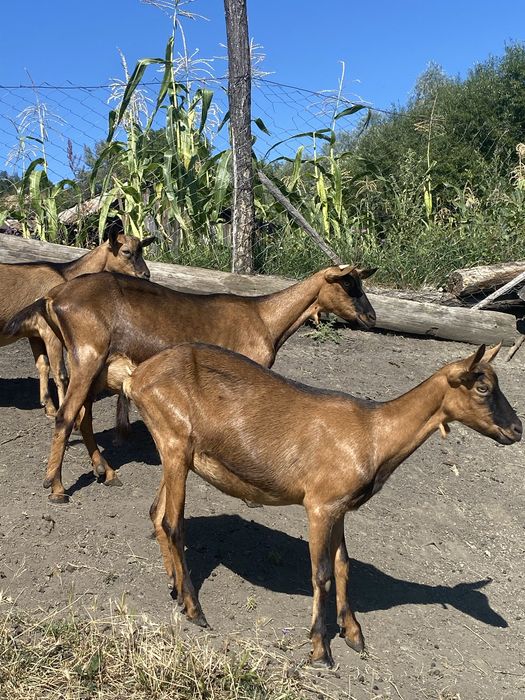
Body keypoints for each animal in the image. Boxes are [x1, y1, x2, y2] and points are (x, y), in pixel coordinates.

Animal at [0, 230, 154, 417]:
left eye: (141, 250)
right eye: (126, 251)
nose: (145, 275)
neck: (66, 276)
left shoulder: (35, 333)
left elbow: (43, 365)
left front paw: (48, 407)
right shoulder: (50, 332)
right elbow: (61, 373)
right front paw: (60, 410)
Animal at [5, 264, 376, 502]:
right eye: (348, 285)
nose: (371, 317)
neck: (264, 318)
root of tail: (55, 295)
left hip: (96, 368)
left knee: (83, 416)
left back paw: (106, 472)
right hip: (88, 357)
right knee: (66, 415)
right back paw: (56, 487)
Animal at [122, 342, 521, 667]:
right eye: (483, 388)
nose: (516, 429)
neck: (374, 434)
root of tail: (137, 376)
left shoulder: (339, 508)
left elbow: (343, 564)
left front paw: (353, 632)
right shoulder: (319, 505)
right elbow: (321, 574)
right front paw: (320, 649)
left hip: (176, 453)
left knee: (157, 513)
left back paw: (175, 587)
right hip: (175, 443)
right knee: (173, 522)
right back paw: (194, 609)